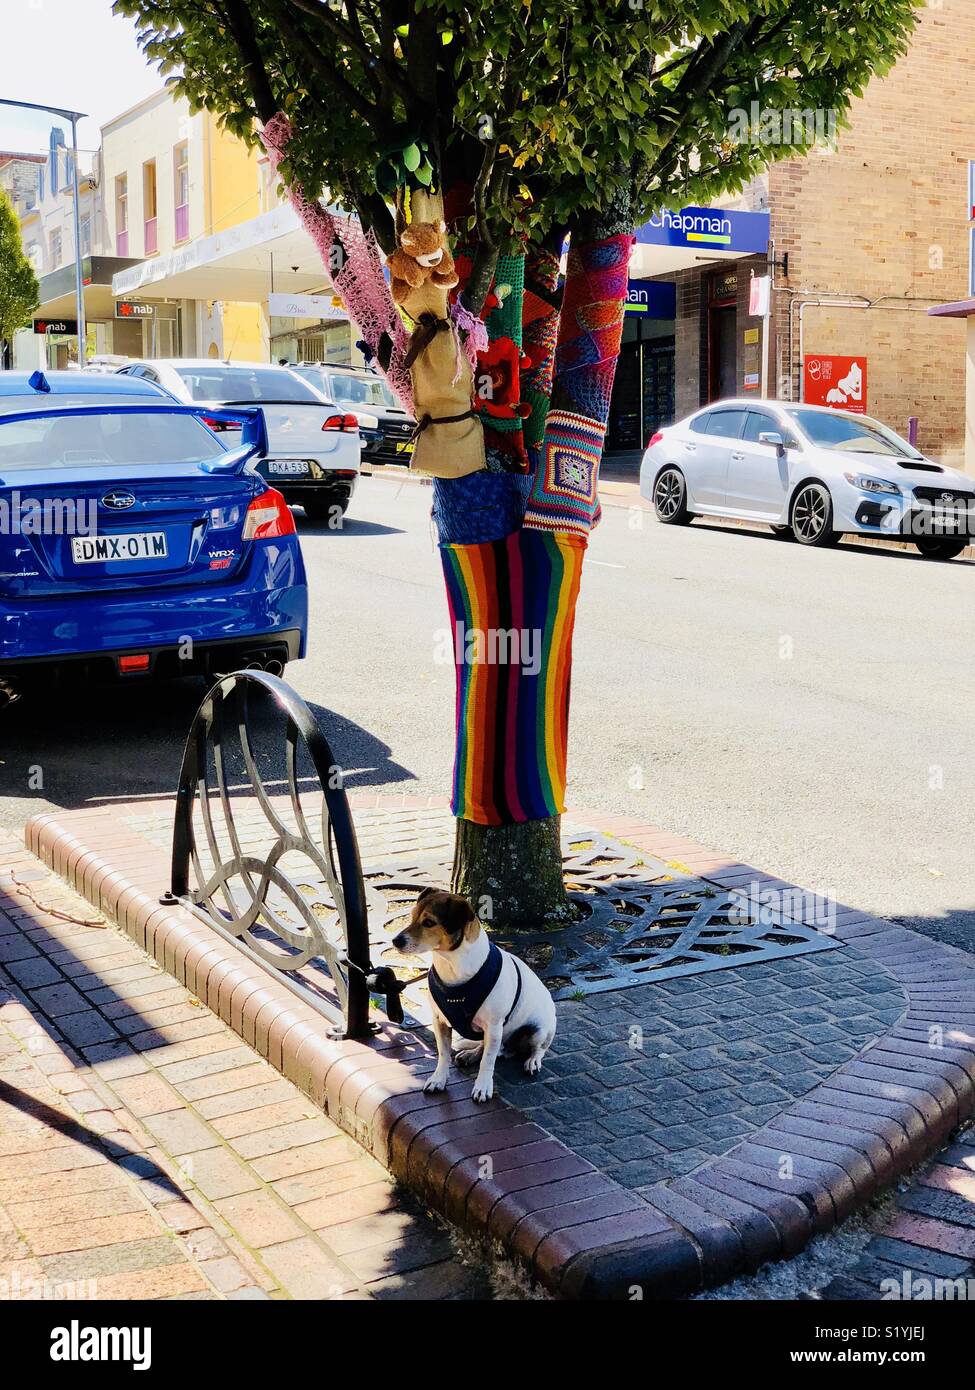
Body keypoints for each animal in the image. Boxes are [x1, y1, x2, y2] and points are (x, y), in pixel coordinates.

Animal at [389, 884, 556, 1100]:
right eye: (411, 917)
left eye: (429, 922)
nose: (395, 941)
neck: (452, 966)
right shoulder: (439, 1021)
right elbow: (443, 1054)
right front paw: (438, 1079)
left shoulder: (493, 1026)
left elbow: (488, 1061)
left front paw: (483, 1087)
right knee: (487, 1047)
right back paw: (471, 1054)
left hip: (537, 1031)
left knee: (536, 1049)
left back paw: (532, 1061)